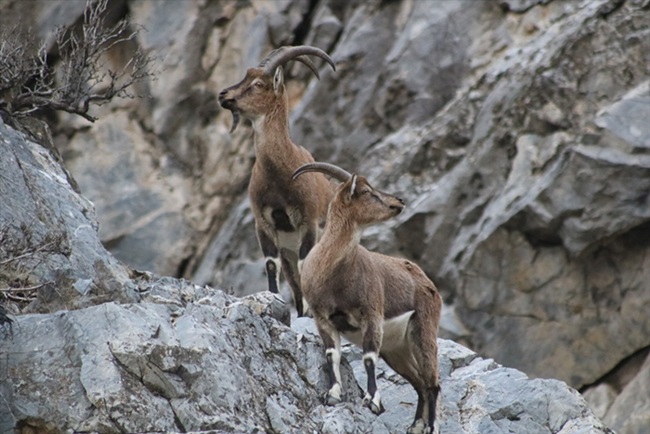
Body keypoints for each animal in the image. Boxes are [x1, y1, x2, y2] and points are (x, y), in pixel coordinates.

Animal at [220, 45, 336, 316]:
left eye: (257, 84)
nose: (223, 95)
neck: (279, 175)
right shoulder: (263, 222)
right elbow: (271, 265)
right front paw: (272, 299)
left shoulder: (308, 221)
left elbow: (306, 264)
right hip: (287, 252)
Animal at [292, 162, 440, 434]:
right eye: (367, 191)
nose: (399, 201)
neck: (333, 273)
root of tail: (426, 281)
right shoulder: (322, 317)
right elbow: (332, 354)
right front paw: (333, 394)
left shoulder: (371, 314)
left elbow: (368, 358)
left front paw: (372, 401)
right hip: (396, 349)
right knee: (419, 383)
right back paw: (415, 425)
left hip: (424, 329)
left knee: (432, 382)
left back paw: (431, 427)